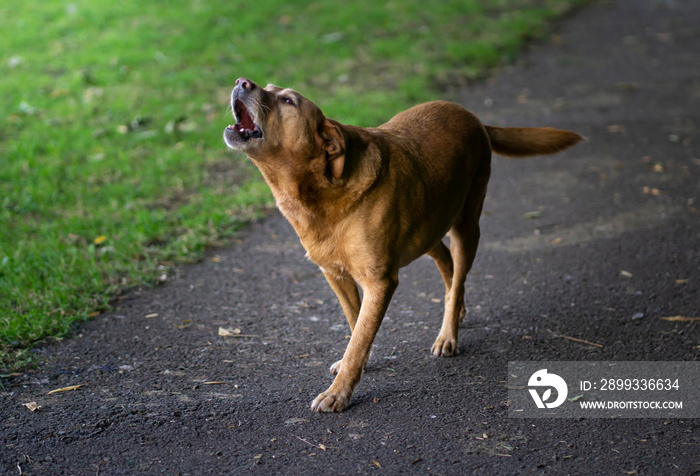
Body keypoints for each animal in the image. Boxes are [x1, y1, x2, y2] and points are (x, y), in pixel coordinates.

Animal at [223, 78, 580, 412]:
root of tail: (473, 116)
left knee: (458, 274)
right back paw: (458, 309)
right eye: (268, 87)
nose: (242, 82)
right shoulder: (336, 276)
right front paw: (357, 364)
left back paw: (448, 333)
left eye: (287, 101)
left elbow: (359, 338)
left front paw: (339, 392)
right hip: (427, 227)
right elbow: (356, 325)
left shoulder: (380, 281)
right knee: (447, 263)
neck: (321, 193)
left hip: (467, 226)